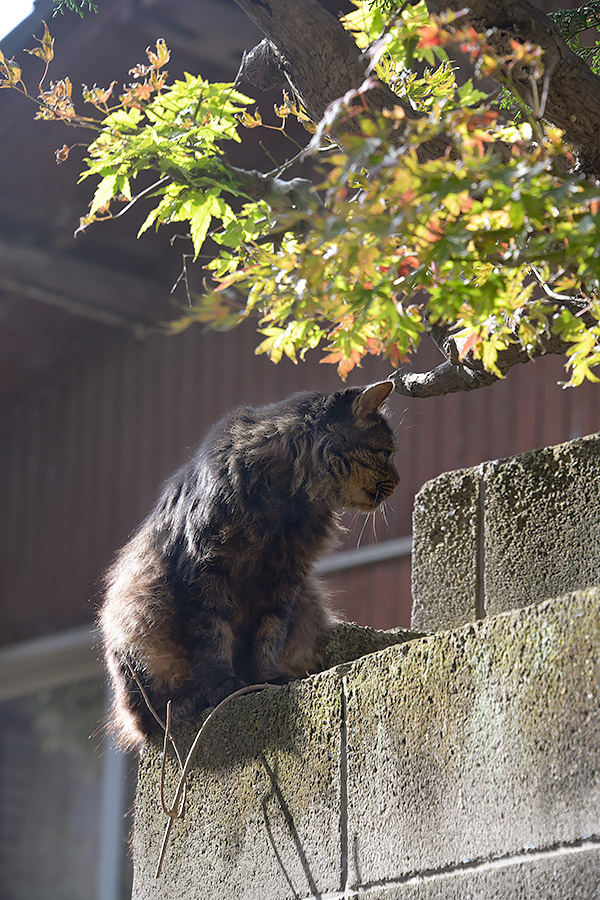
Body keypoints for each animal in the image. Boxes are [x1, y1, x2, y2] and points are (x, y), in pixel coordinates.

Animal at [99, 380, 398, 744]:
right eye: (386, 453)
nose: (399, 479)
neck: (287, 508)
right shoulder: (204, 573)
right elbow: (212, 638)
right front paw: (223, 687)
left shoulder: (286, 579)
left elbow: (266, 637)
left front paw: (266, 679)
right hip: (137, 609)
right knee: (146, 719)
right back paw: (185, 703)